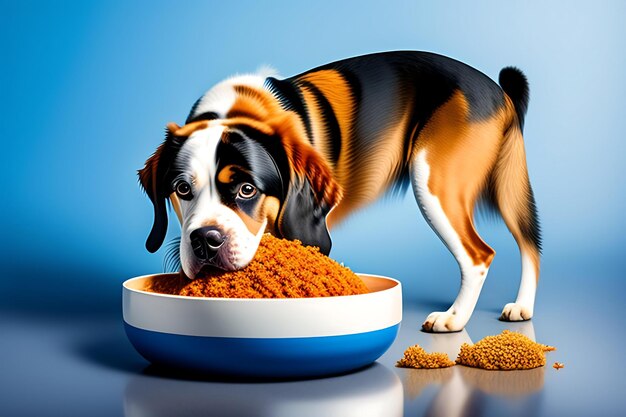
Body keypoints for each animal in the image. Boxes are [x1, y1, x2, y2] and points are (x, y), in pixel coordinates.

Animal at [139, 51, 540, 332]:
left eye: (247, 189)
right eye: (182, 188)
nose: (205, 241)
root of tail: (496, 89)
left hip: (433, 185)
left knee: (480, 255)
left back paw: (454, 318)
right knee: (529, 242)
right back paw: (522, 307)